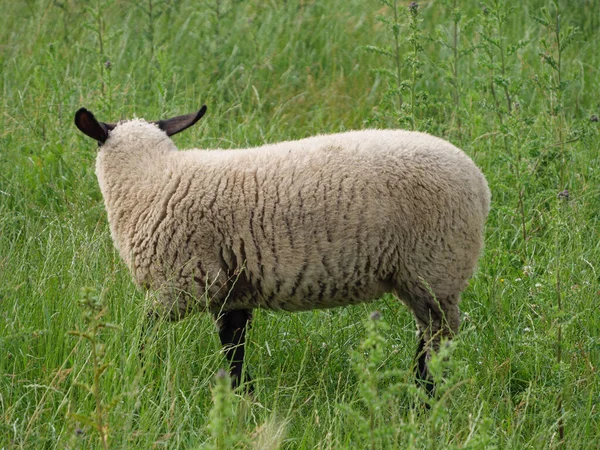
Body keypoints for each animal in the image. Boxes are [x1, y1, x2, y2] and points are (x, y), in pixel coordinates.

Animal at [75, 105, 490, 394]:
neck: (152, 180)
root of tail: (480, 183)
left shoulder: (180, 285)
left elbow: (142, 334)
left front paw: (132, 372)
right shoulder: (232, 290)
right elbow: (233, 348)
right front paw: (241, 396)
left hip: (436, 266)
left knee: (438, 339)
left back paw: (424, 397)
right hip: (422, 275)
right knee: (431, 336)